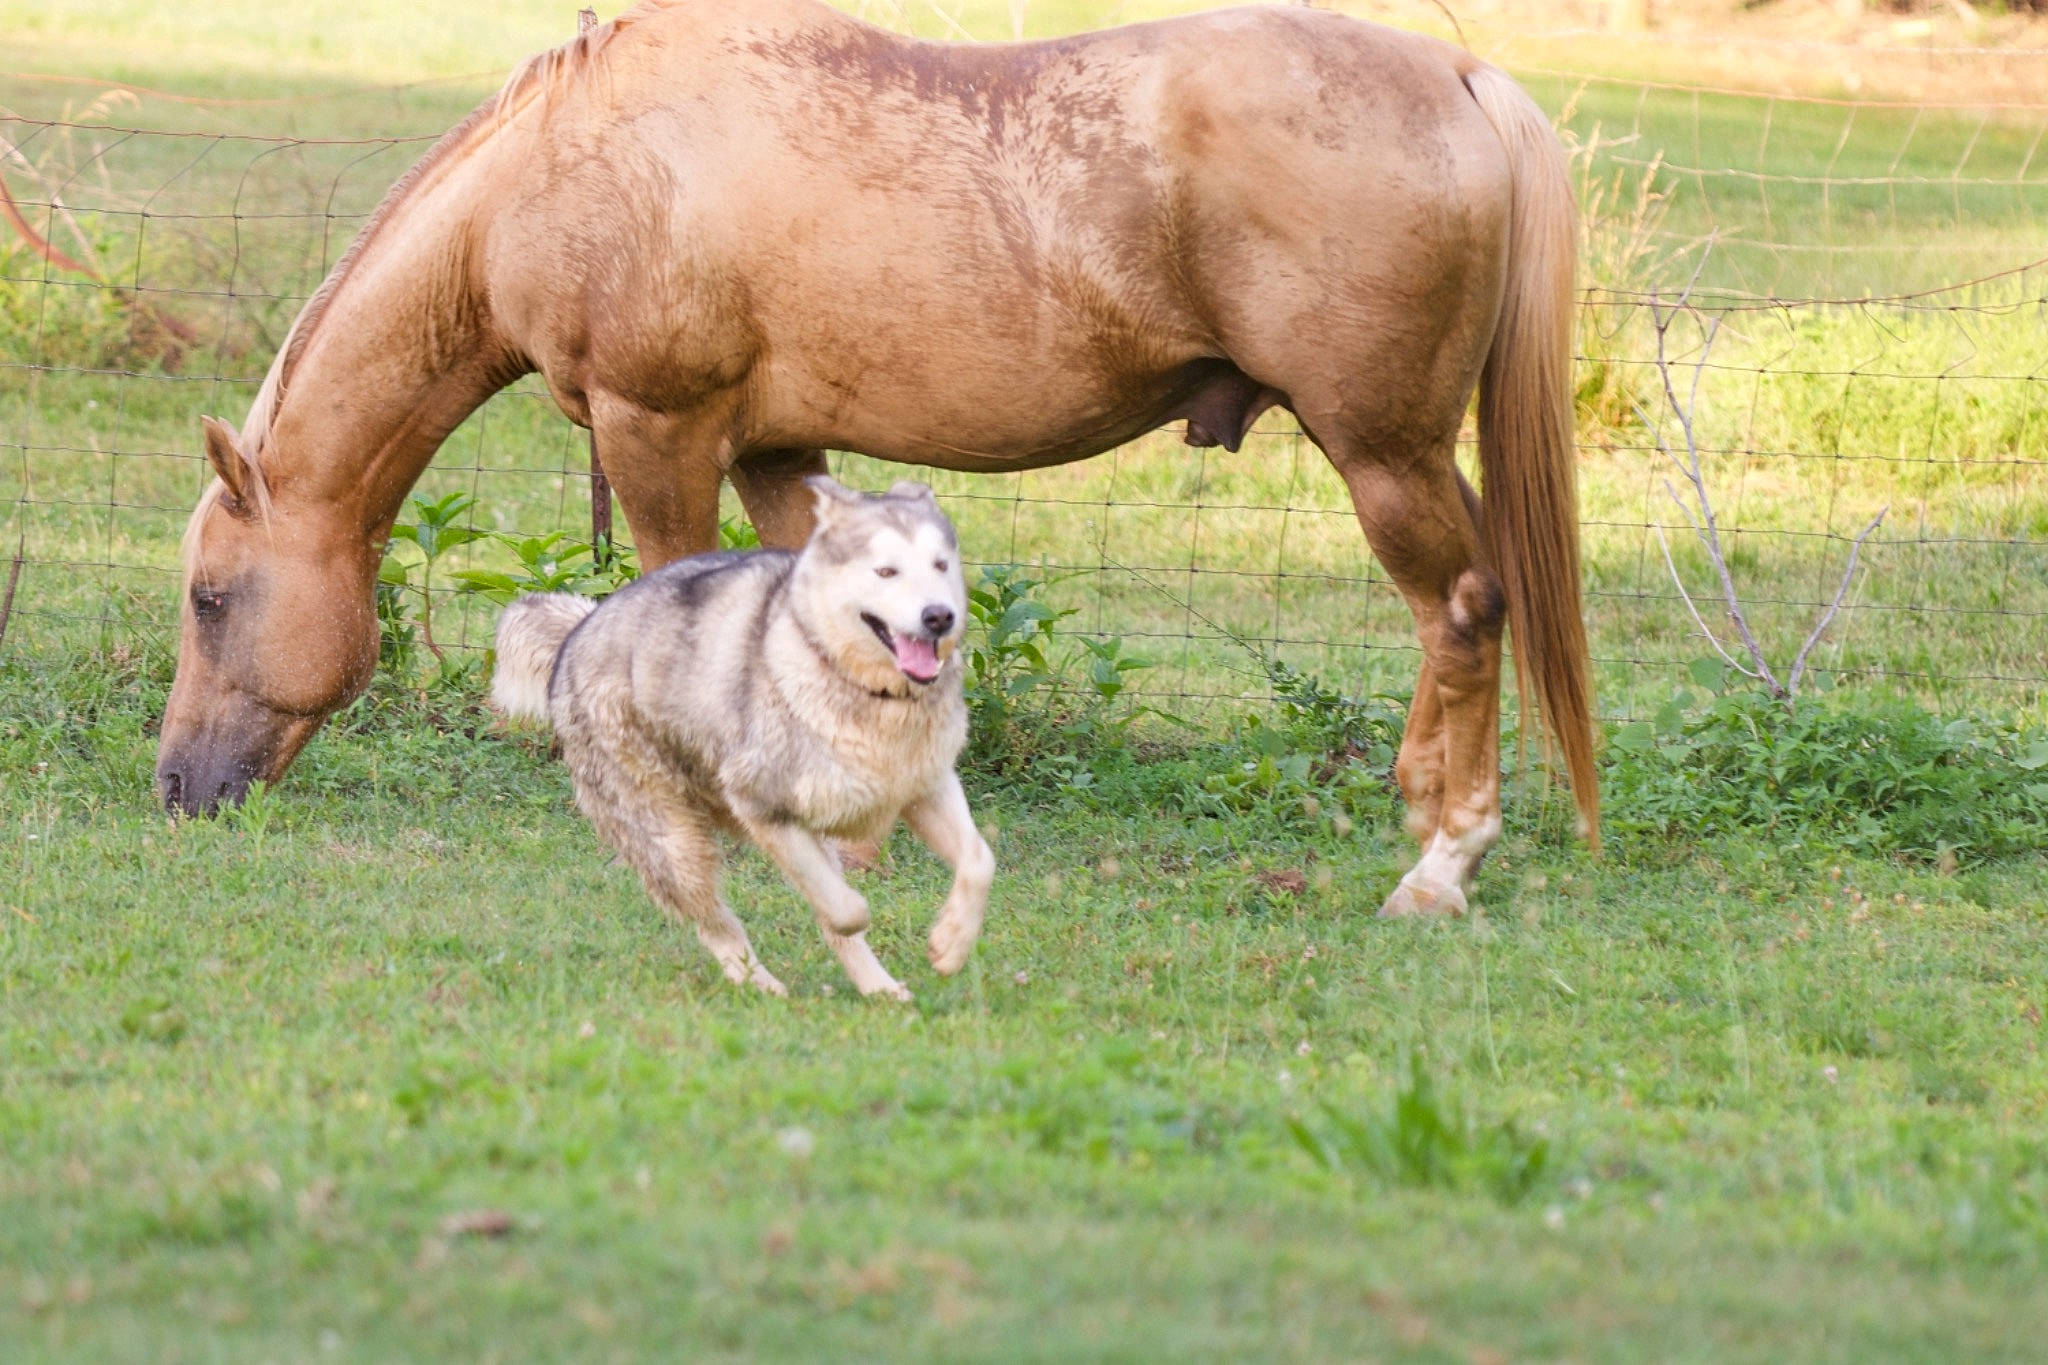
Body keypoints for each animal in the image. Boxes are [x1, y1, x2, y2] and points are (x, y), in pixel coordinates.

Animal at [159, 0, 1597, 917]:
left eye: (210, 599)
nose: (176, 788)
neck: (576, 163)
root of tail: (1462, 80)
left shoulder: (658, 430)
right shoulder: (778, 450)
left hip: (1380, 451)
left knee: (1464, 609)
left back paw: (1439, 870)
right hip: (1408, 454)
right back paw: (1418, 807)